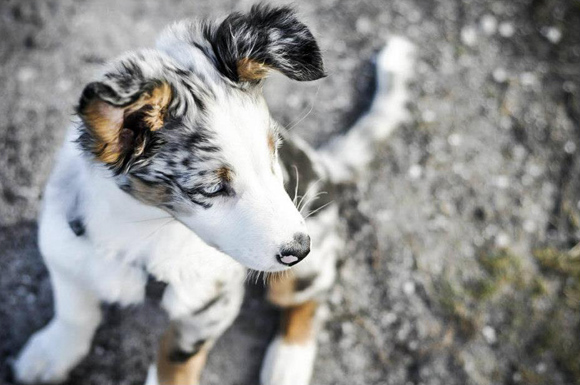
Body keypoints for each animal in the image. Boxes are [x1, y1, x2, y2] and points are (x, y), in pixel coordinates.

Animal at [11, 3, 414, 384]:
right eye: (212, 188)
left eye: (274, 151)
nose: (300, 249)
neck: (143, 228)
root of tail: (322, 163)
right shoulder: (64, 247)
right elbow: (73, 309)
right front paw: (51, 353)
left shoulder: (210, 303)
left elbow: (174, 360)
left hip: (307, 261)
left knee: (313, 295)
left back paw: (287, 364)